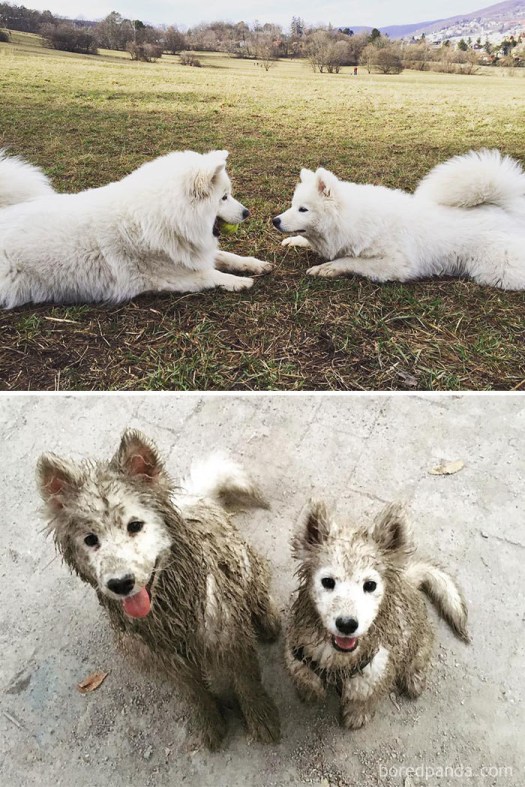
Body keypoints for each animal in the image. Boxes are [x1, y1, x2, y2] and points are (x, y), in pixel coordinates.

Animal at [0, 149, 270, 310]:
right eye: (224, 197)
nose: (247, 212)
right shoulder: (169, 277)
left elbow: (227, 256)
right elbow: (209, 275)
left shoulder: (191, 252)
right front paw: (238, 281)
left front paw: (254, 264)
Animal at [35, 434, 282, 748]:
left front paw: (261, 718)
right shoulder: (167, 662)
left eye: (135, 525)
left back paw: (268, 619)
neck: (172, 616)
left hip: (248, 566)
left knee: (259, 593)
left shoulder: (231, 639)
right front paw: (210, 722)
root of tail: (196, 497)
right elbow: (195, 694)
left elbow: (247, 683)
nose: (121, 583)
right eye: (90, 539)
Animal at [272, 149, 524, 290]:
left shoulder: (396, 264)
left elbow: (351, 261)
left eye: (303, 209)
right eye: (293, 206)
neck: (354, 220)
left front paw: (328, 268)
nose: (275, 220)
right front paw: (295, 241)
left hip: (498, 272)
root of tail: (506, 212)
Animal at [284, 502, 468, 728]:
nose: (347, 624)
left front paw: (357, 715)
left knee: (418, 660)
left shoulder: (375, 671)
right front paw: (309, 693)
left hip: (420, 641)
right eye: (327, 581)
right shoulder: (297, 656)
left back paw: (414, 679)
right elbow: (307, 679)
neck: (339, 660)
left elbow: (363, 699)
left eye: (370, 585)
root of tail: (408, 581)